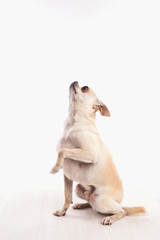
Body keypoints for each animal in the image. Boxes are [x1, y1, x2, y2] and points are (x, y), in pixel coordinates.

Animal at [50, 81, 146, 224]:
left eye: (85, 88)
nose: (75, 81)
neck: (72, 122)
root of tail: (119, 202)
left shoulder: (90, 154)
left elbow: (63, 151)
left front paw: (55, 168)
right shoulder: (67, 176)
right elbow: (67, 196)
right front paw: (62, 211)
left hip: (99, 199)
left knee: (122, 211)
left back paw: (110, 218)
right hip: (79, 189)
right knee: (91, 204)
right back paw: (81, 205)